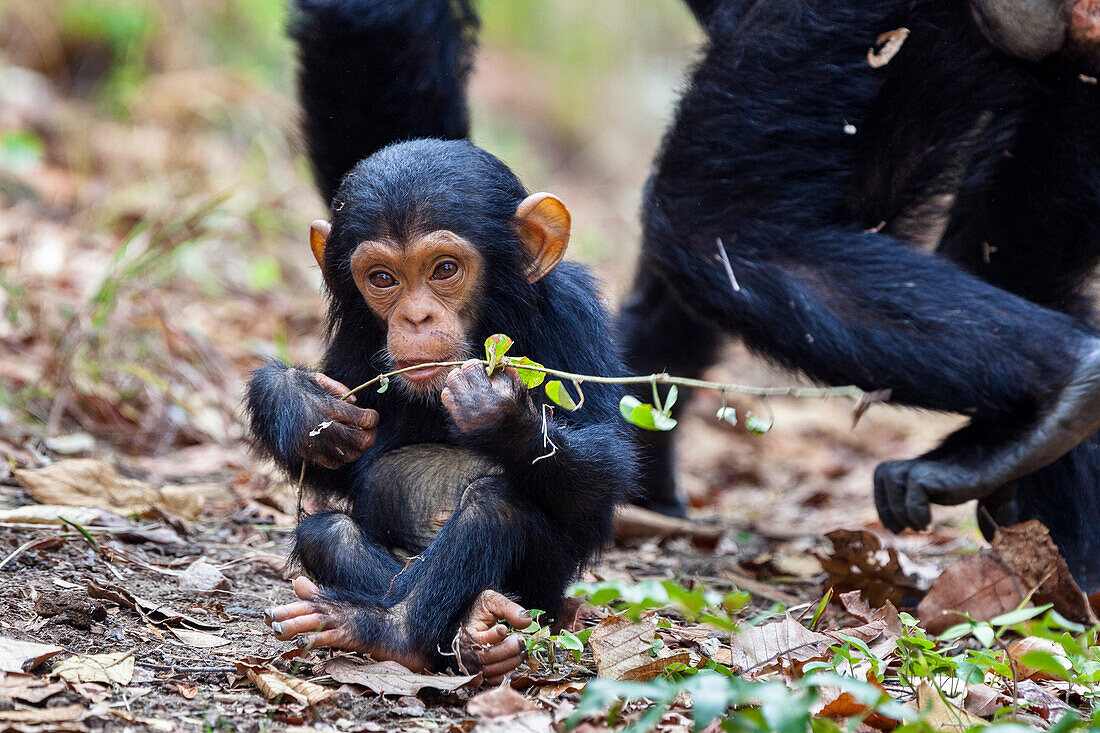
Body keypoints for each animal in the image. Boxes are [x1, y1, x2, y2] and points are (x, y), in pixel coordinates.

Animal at [244, 0, 633, 677]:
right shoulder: (359, 340)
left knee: (491, 506)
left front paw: (499, 410)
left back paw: (405, 630)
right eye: (383, 278)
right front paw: (298, 402)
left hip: (541, 587)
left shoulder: (576, 317)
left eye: (444, 269)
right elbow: (345, 461)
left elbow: (604, 465)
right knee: (329, 532)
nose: (417, 318)